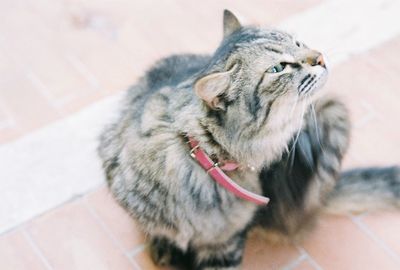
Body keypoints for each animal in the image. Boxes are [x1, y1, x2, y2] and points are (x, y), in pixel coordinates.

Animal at [97, 9, 400, 268]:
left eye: (298, 43)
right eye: (279, 68)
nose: (321, 57)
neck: (209, 161)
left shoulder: (226, 244)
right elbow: (157, 228)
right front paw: (165, 244)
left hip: (333, 116)